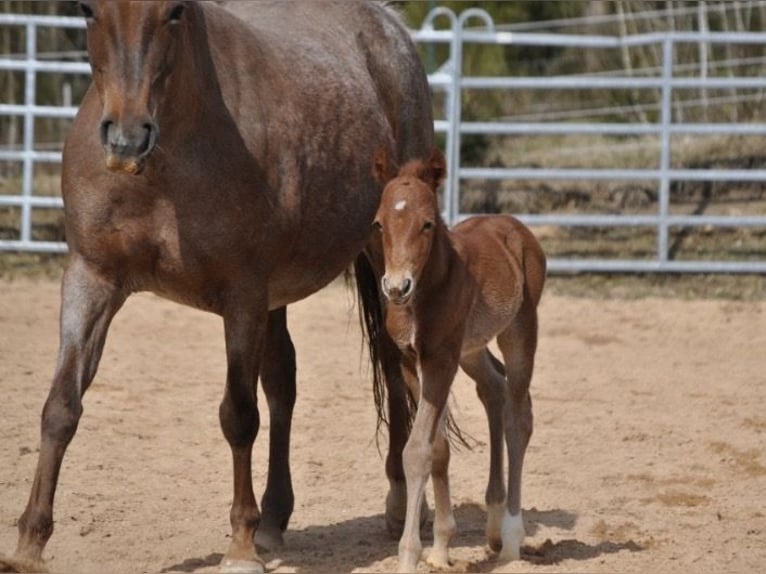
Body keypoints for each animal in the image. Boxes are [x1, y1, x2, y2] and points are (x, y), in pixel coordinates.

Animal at [0, 2, 433, 573]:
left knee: (392, 361)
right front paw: (29, 543)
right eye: (88, 10)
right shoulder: (91, 278)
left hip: (385, 261)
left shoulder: (242, 294)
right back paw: (275, 518)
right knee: (284, 381)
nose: (126, 138)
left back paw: (403, 503)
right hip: (279, 297)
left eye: (174, 12)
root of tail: (389, 27)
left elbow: (239, 416)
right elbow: (61, 406)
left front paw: (240, 545)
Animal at [370, 147, 547, 571]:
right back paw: (494, 524)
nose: (396, 287)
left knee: (519, 417)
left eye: (427, 224)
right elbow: (437, 448)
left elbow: (417, 449)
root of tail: (514, 225)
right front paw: (440, 548)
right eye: (379, 224)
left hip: (519, 330)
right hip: (472, 350)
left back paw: (512, 538)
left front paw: (409, 555)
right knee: (494, 389)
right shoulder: (411, 360)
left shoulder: (441, 360)